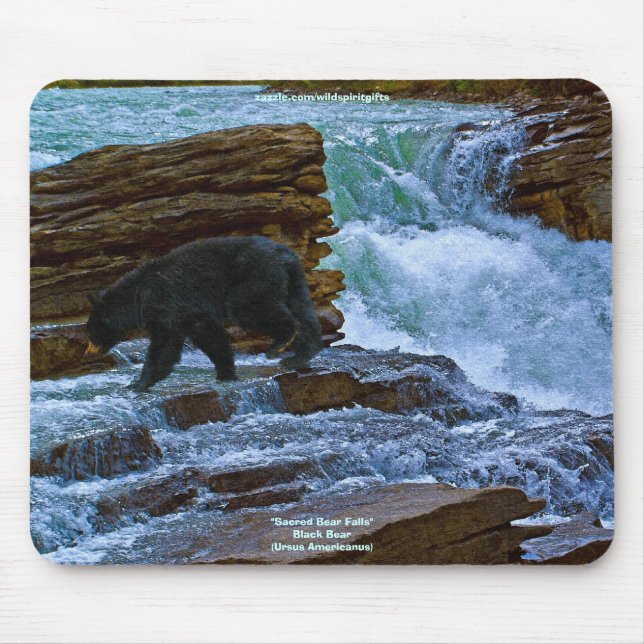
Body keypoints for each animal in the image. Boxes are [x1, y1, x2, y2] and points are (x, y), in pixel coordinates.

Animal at [85, 236, 323, 391]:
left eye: (90, 333)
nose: (88, 352)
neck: (138, 297)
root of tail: (286, 256)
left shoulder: (164, 304)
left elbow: (165, 344)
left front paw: (137, 383)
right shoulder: (192, 313)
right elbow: (209, 336)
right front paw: (226, 373)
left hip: (255, 277)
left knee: (248, 308)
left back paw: (280, 343)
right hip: (293, 280)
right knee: (304, 312)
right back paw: (299, 356)